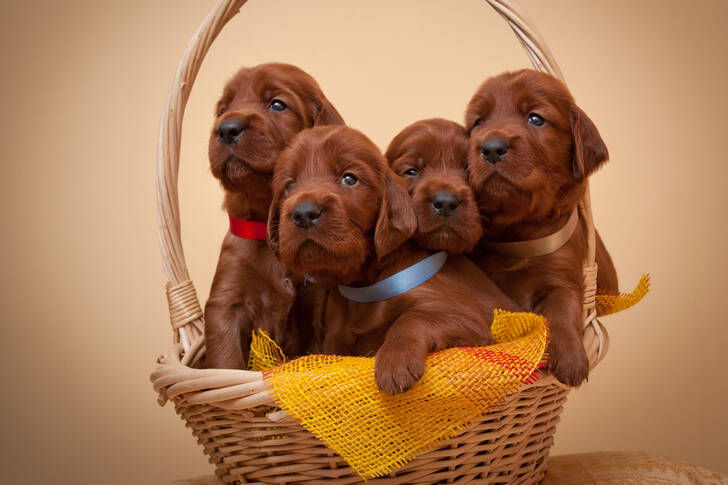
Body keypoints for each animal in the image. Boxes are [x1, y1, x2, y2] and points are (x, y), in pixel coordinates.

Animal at [203, 62, 342, 368]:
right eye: (222, 109)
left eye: (277, 104)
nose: (226, 129)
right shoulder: (225, 305)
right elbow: (226, 362)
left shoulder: (316, 306)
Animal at [464, 69, 616, 386]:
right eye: (477, 122)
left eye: (536, 118)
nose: (491, 147)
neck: (517, 233)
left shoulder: (564, 274)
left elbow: (563, 305)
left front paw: (570, 357)